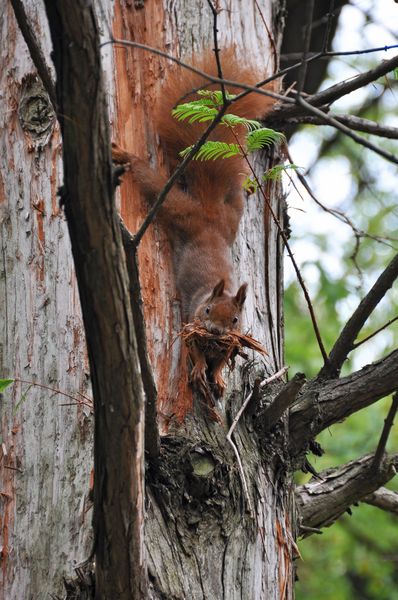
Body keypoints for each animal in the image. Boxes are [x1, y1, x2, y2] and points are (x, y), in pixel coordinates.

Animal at [113, 51, 276, 396]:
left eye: (235, 321)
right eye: (208, 311)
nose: (214, 331)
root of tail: (209, 216)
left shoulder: (231, 342)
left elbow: (223, 358)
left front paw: (218, 375)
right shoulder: (190, 321)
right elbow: (193, 349)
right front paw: (202, 367)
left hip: (231, 214)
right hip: (178, 208)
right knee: (153, 181)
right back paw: (125, 156)